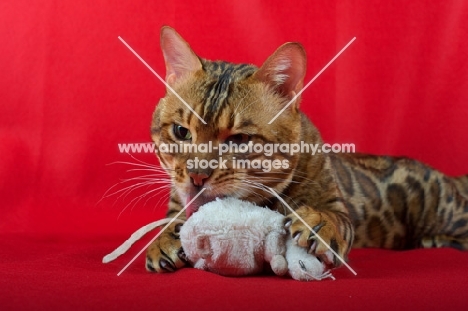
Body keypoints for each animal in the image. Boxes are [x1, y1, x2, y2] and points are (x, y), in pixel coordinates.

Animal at [145, 26, 468, 272]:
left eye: (239, 139)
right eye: (181, 132)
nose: (197, 176)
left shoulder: (337, 206)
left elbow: (335, 218)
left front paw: (319, 220)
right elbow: (175, 218)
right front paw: (163, 238)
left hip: (444, 208)